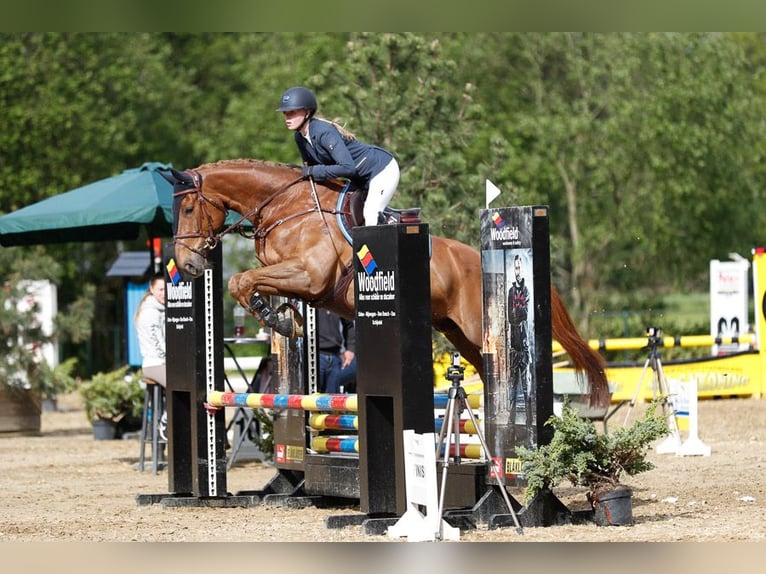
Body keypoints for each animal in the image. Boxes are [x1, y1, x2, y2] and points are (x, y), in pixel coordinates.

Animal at [165, 159, 609, 407]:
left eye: (186, 209)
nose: (187, 264)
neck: (286, 208)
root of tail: (474, 256)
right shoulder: (295, 277)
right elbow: (252, 282)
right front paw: (287, 319)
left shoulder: (310, 275)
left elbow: (241, 280)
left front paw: (277, 319)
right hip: (455, 330)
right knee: (484, 370)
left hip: (475, 327)